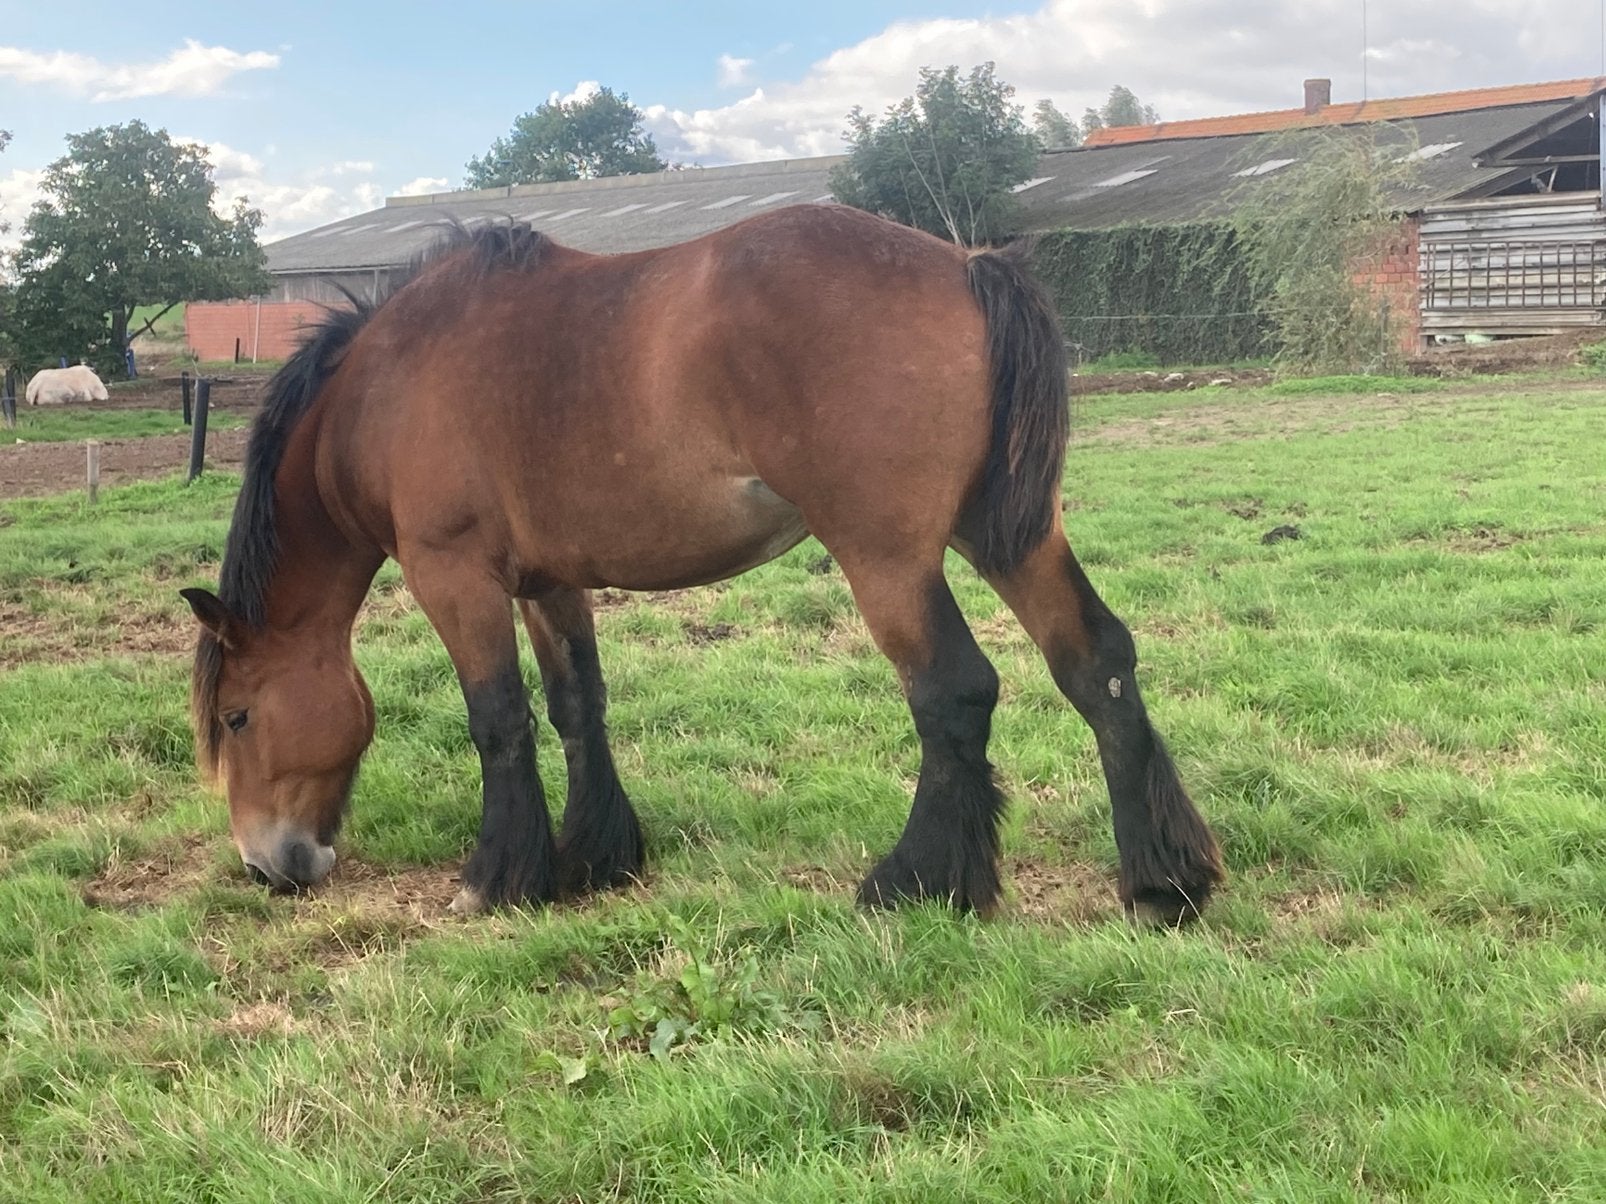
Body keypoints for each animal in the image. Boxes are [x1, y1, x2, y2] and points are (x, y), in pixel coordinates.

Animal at [180, 203, 1224, 923]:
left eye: (238, 717)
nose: (265, 865)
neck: (385, 388)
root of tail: (965, 265)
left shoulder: (456, 578)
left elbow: (499, 722)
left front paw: (499, 878)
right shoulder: (550, 583)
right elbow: (578, 708)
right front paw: (595, 858)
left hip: (887, 558)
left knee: (954, 693)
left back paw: (916, 882)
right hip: (1007, 532)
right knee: (1096, 661)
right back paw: (1162, 880)